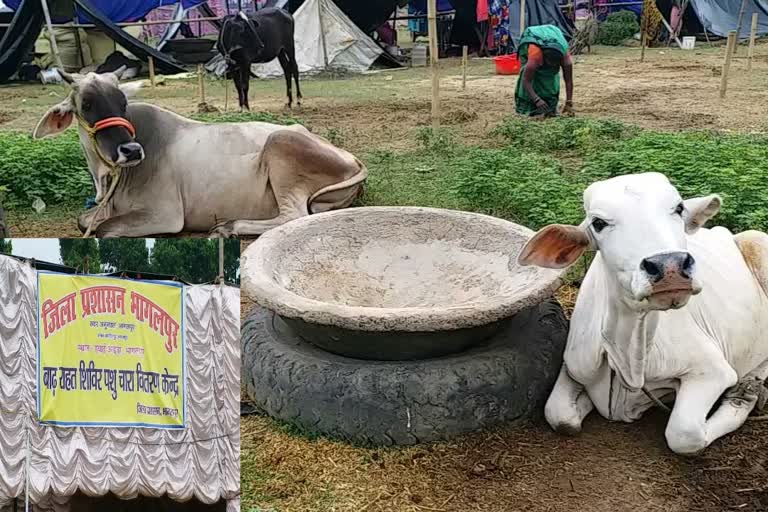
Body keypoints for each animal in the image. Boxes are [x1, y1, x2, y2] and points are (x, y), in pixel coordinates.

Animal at [35, 68, 368, 238]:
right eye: (87, 104)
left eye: (123, 102)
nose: (131, 150)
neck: (108, 180)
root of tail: (349, 158)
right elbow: (84, 220)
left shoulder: (165, 215)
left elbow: (103, 229)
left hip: (280, 143)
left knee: (293, 216)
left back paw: (228, 227)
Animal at [520, 173, 768, 456]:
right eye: (598, 223)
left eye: (678, 208)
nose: (670, 266)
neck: (629, 357)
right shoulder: (574, 365)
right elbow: (561, 416)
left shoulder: (712, 370)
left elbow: (684, 435)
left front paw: (743, 398)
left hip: (758, 241)